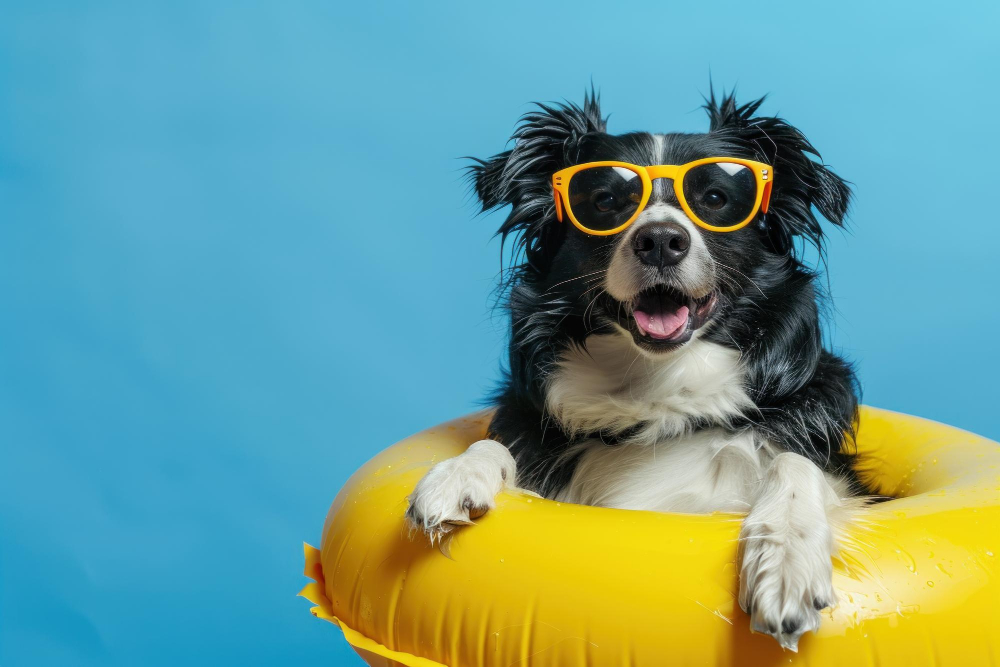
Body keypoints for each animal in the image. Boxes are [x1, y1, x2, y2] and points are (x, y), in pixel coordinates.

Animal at [406, 88, 868, 652]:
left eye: (716, 199)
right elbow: (500, 444)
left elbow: (796, 464)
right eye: (604, 202)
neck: (660, 391)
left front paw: (785, 559)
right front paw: (457, 473)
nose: (661, 241)